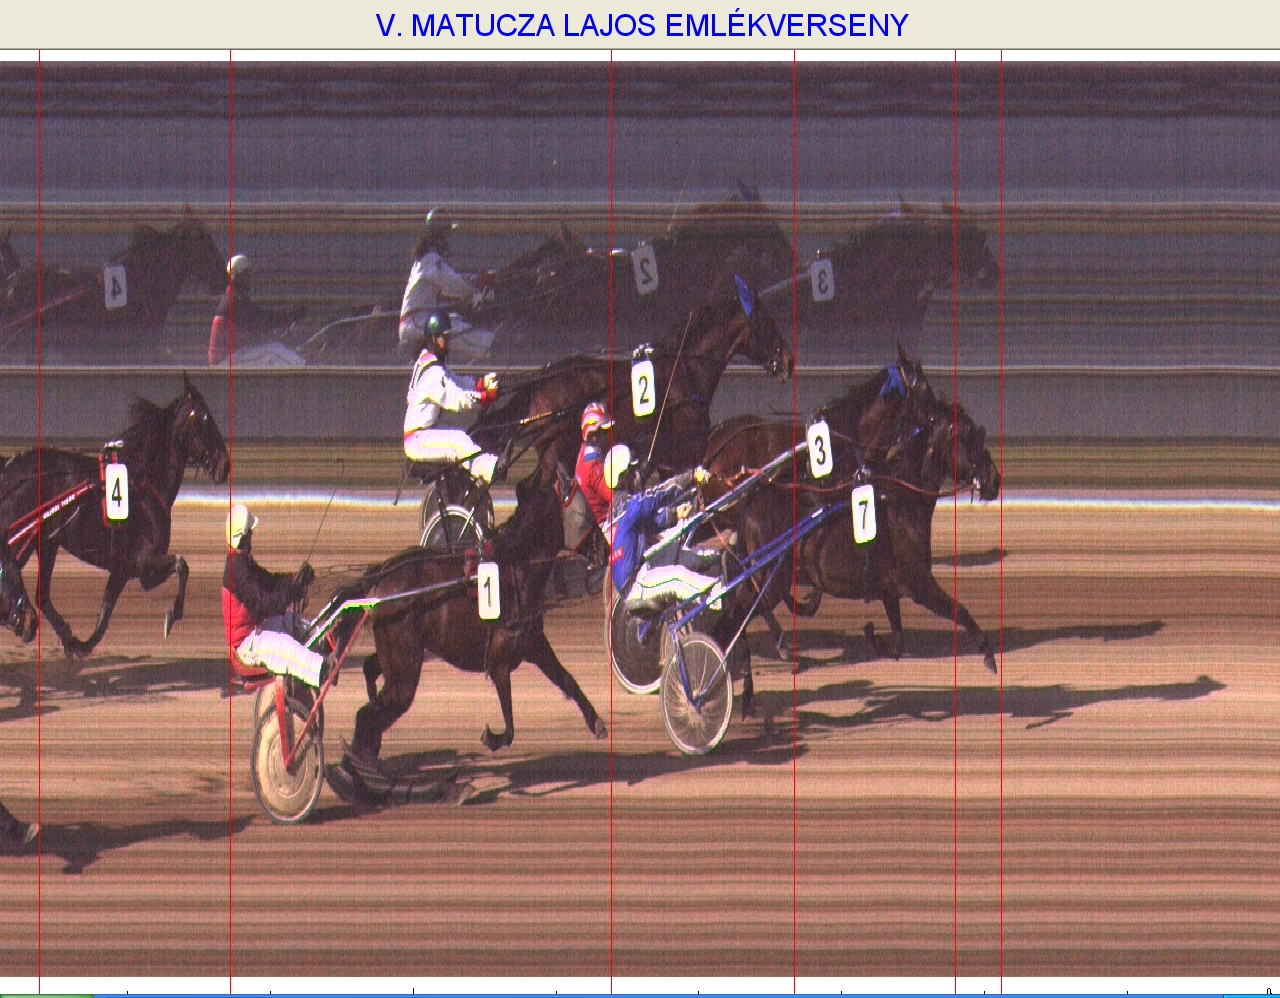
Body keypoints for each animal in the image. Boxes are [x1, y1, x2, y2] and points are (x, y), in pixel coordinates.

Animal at [0, 374, 230, 660]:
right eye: (205, 418)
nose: (225, 465)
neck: (142, 482)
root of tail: (10, 468)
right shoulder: (142, 564)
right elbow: (181, 565)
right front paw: (172, 615)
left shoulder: (121, 570)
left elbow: (104, 616)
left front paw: (80, 644)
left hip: (46, 541)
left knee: (42, 594)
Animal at [346, 461, 607, 768]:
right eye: (586, 513)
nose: (605, 549)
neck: (514, 572)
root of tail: (381, 576)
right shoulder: (499, 662)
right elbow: (509, 727)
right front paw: (492, 737)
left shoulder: (533, 644)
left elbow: (567, 679)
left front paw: (596, 721)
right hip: (404, 668)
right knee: (371, 714)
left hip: (397, 654)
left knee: (370, 678)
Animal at [471, 277, 794, 481]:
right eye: (768, 322)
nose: (789, 361)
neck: (684, 370)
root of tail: (544, 378)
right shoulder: (680, 452)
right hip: (554, 446)